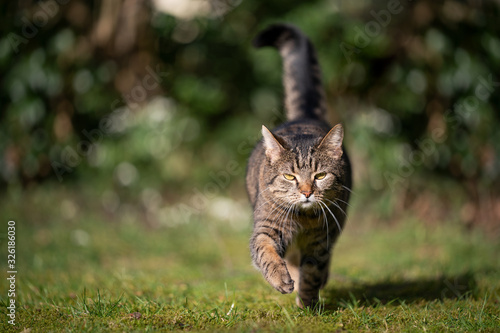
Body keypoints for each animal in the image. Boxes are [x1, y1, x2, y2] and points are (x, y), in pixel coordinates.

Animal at [246, 23, 352, 308]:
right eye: (289, 177)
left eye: (320, 175)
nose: (306, 192)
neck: (303, 220)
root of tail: (305, 116)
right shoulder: (267, 227)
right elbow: (265, 251)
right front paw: (281, 278)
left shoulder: (322, 241)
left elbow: (313, 271)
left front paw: (308, 303)